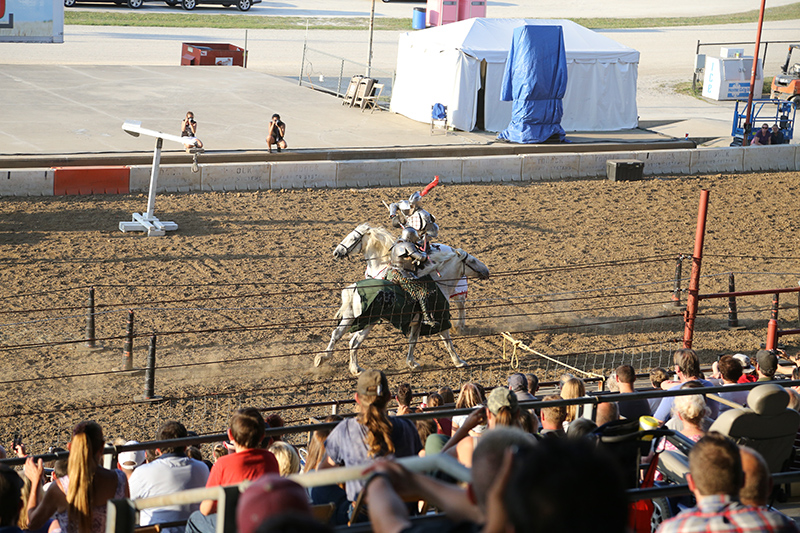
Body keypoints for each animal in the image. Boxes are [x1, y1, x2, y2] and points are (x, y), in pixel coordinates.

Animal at [318, 241, 490, 374]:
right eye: (472, 261)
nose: (486, 271)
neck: (439, 283)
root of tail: (353, 288)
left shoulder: (416, 323)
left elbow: (412, 342)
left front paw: (412, 363)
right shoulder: (440, 319)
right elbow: (448, 341)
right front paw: (459, 361)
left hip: (350, 317)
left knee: (337, 334)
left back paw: (323, 358)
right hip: (367, 321)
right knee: (354, 342)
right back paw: (355, 369)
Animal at [332, 222, 476, 330]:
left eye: (353, 238)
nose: (336, 252)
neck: (381, 262)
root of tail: (453, 250)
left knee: (461, 304)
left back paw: (460, 326)